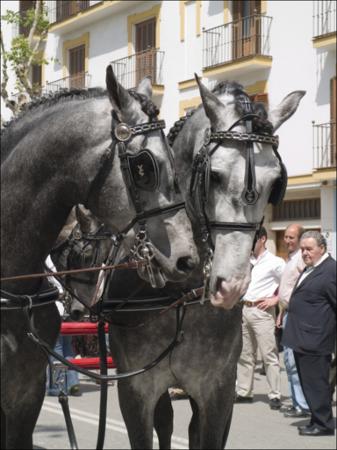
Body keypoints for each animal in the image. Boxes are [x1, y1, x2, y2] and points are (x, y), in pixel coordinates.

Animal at [52, 79, 304, 448]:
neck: (179, 297)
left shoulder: (217, 392)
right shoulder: (137, 389)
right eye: (215, 176)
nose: (231, 286)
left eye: (275, 182)